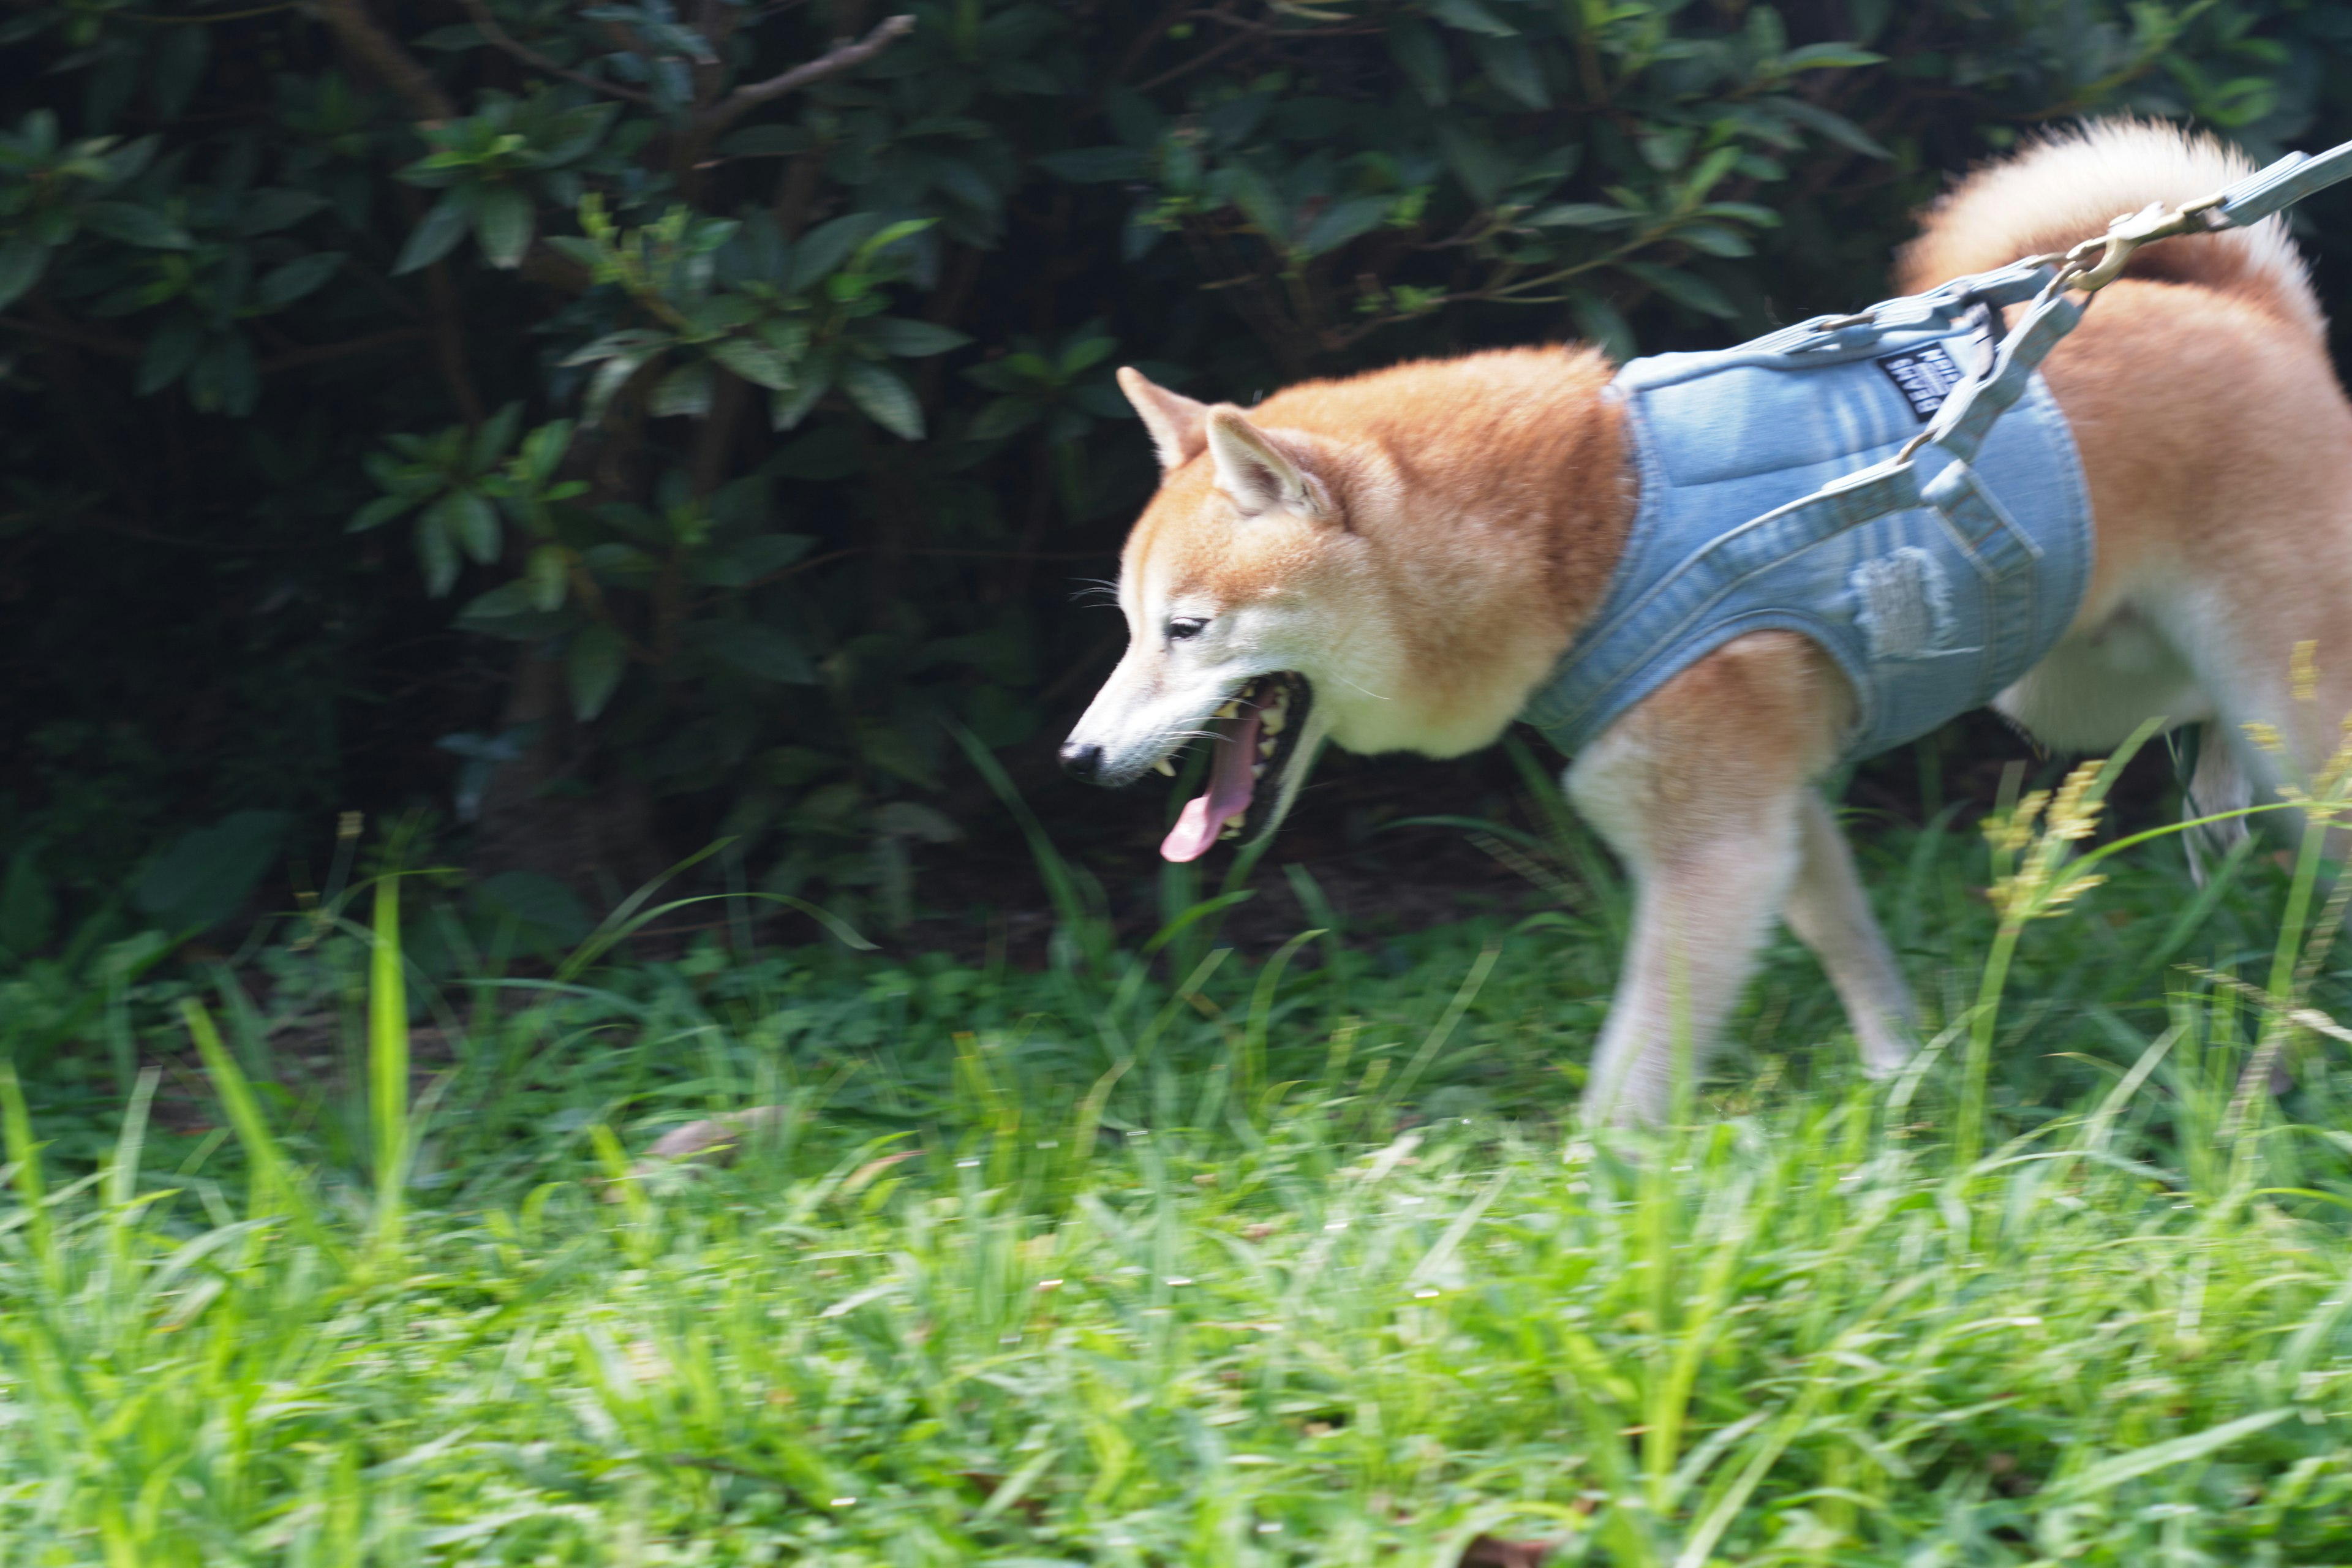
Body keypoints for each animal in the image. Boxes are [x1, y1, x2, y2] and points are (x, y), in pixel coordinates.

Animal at [1068, 126, 2352, 1128]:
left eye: (1187, 628)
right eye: (1130, 627)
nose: (1076, 759)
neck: (1590, 526)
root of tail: (2247, 310)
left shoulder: (1714, 847)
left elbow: (1635, 1068)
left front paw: (1588, 1204)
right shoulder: (1774, 812)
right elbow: (1853, 951)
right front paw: (1906, 1083)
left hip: (2275, 707)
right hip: (2076, 681)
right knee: (2198, 729)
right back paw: (2216, 823)